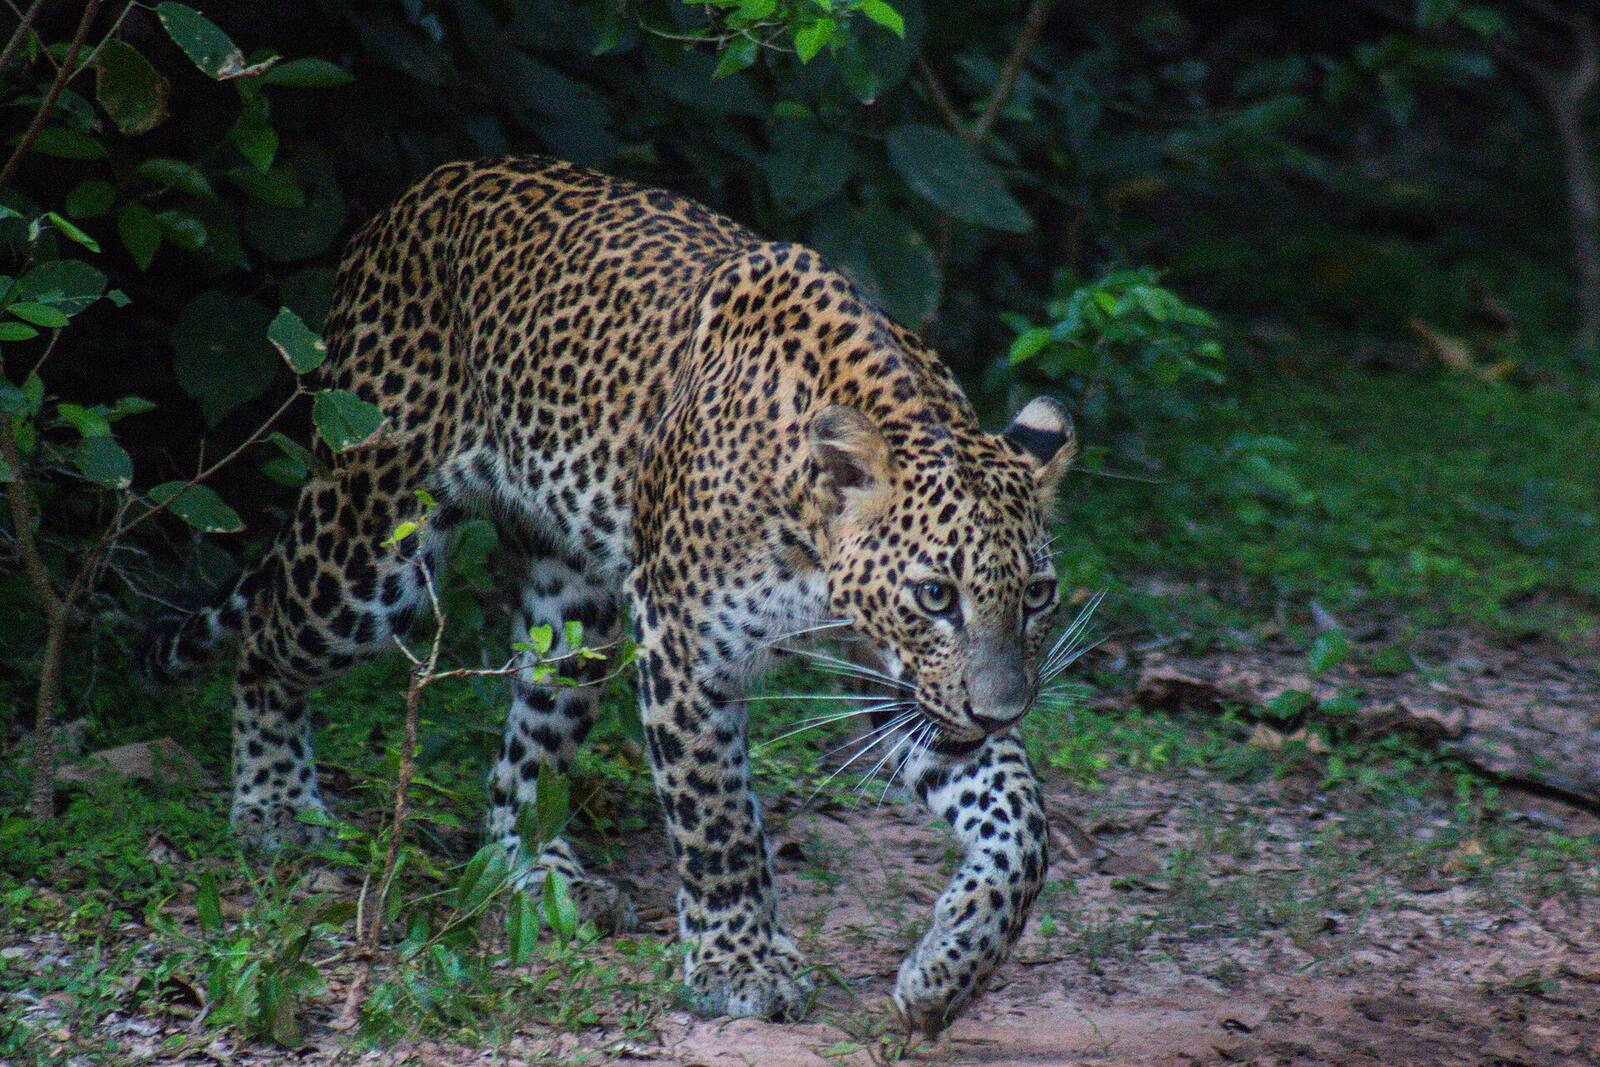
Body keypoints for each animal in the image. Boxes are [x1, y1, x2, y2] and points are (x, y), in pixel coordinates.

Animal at [139, 156, 1077, 1035]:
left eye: (1037, 593)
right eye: (935, 594)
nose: (1001, 709)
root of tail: (413, 195)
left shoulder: (908, 686)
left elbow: (1021, 822)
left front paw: (949, 970)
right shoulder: (685, 644)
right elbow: (717, 819)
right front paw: (740, 965)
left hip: (572, 611)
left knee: (523, 757)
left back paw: (541, 875)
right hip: (369, 548)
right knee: (268, 635)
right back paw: (276, 808)